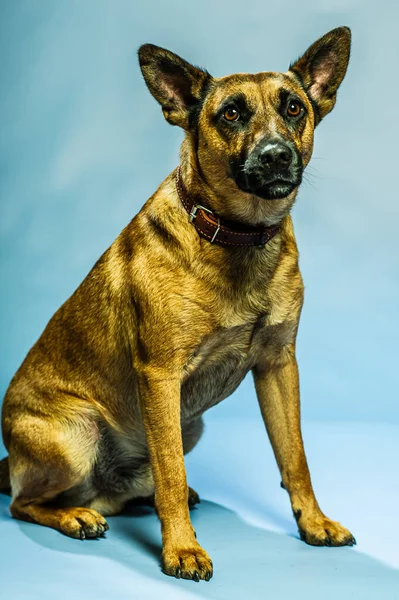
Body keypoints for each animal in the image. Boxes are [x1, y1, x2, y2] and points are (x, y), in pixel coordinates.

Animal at [0, 25, 356, 580]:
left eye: (295, 107)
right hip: (76, 438)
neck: (237, 236)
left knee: (120, 492)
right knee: (25, 503)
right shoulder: (160, 377)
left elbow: (294, 457)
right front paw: (182, 549)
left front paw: (313, 522)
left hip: (192, 423)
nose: (276, 155)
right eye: (230, 113)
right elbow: (168, 467)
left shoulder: (279, 366)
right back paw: (76, 516)